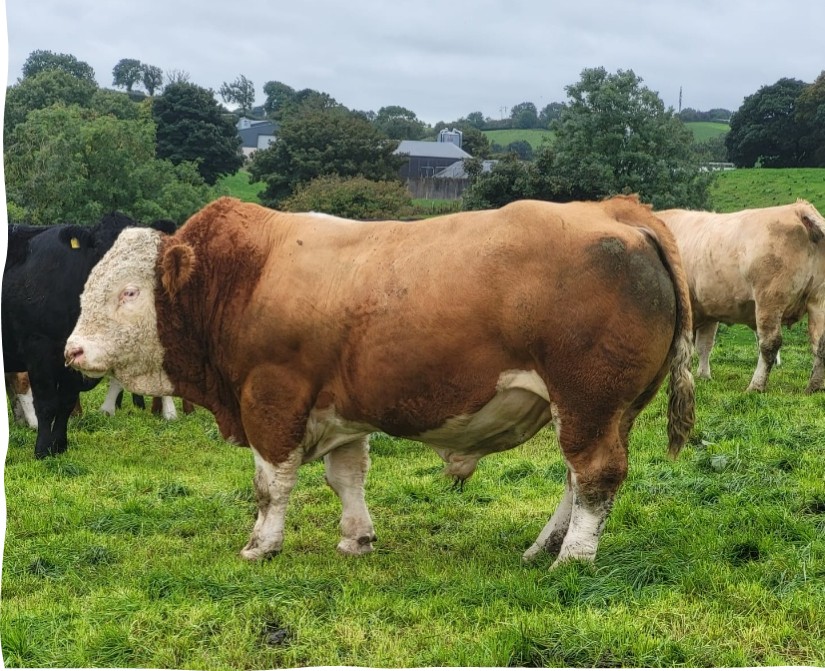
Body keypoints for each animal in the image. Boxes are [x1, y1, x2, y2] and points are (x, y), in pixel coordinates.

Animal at [3, 216, 176, 458]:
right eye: (101, 251)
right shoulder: (39, 348)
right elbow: (47, 403)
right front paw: (43, 450)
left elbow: (66, 401)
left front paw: (60, 446)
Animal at [65, 195, 694, 568]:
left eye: (128, 291)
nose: (72, 350)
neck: (243, 278)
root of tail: (618, 211)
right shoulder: (340, 409)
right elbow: (345, 478)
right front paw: (356, 538)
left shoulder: (271, 400)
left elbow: (271, 486)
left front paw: (261, 545)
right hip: (604, 409)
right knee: (576, 479)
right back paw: (543, 548)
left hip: (589, 402)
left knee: (596, 476)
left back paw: (573, 560)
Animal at [657, 200, 825, 393]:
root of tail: (798, 209)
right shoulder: (708, 312)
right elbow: (704, 345)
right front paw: (704, 376)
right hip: (818, 300)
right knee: (820, 344)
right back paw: (814, 387)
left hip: (770, 298)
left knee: (770, 344)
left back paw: (756, 386)